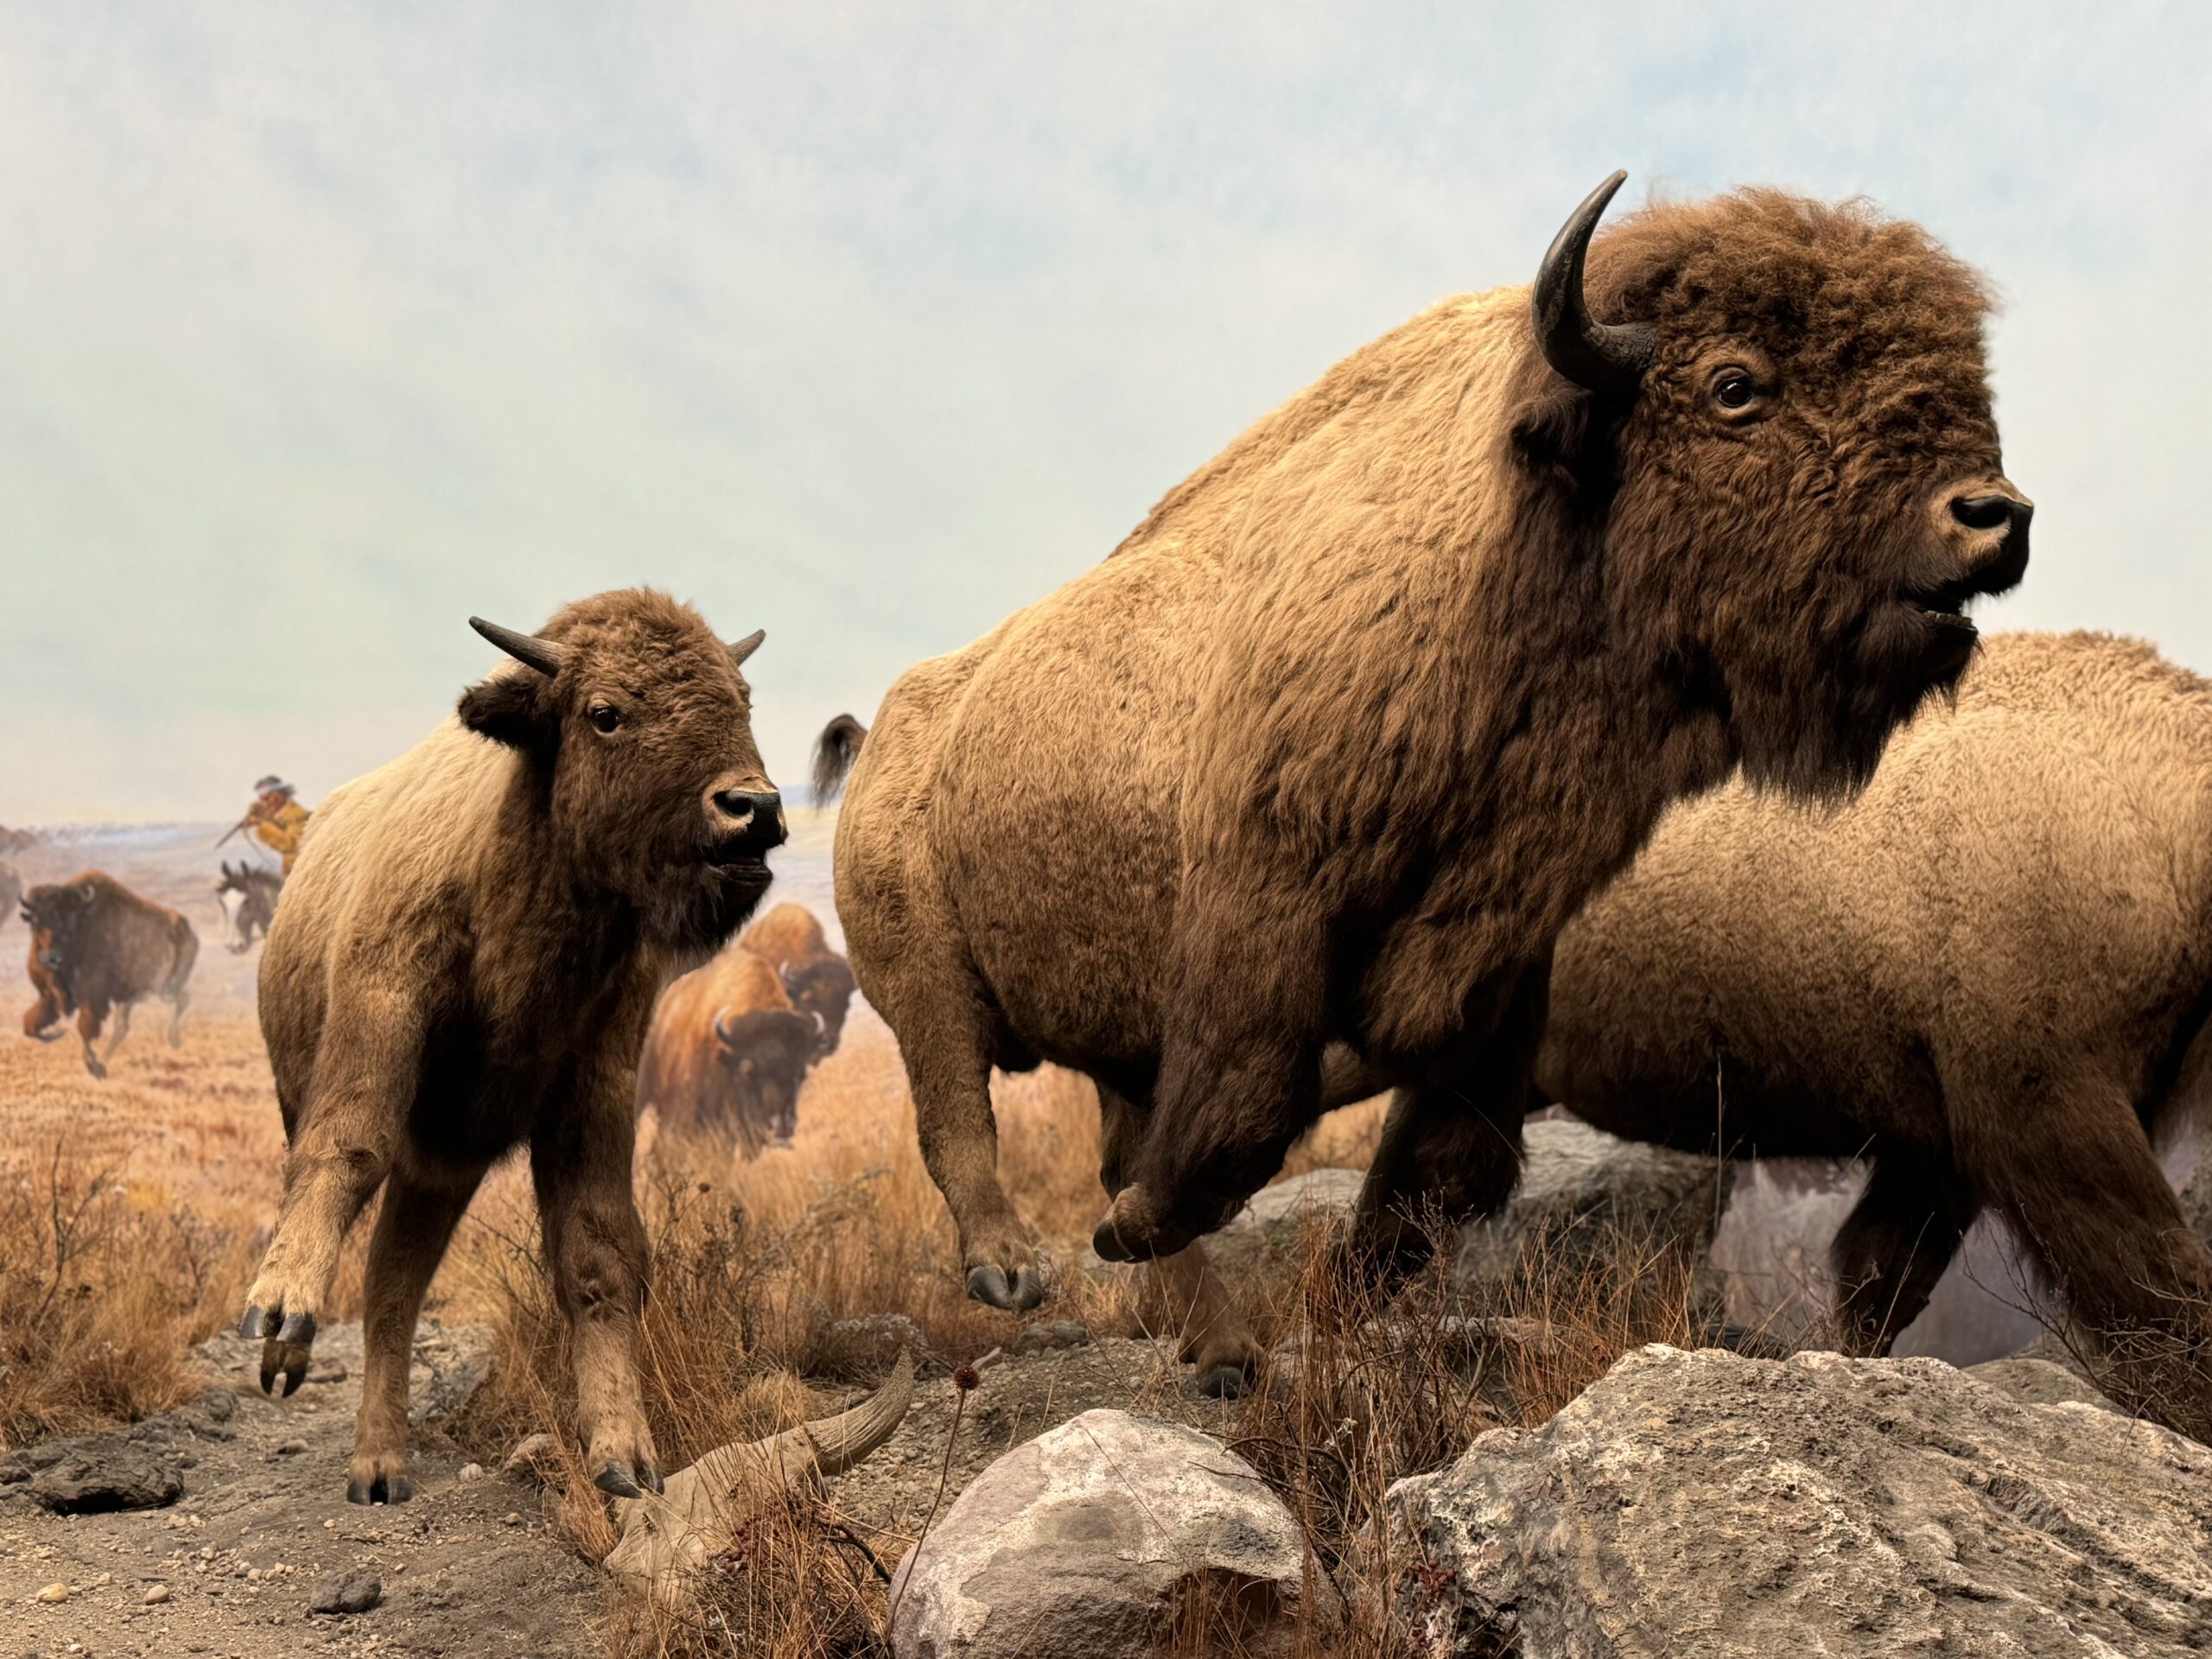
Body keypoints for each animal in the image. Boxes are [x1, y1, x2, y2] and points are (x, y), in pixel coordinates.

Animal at [20, 871, 199, 1079]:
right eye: (36, 921)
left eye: (69, 921)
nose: (51, 958)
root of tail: (189, 931)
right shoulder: (48, 996)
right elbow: (30, 1025)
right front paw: (57, 1033)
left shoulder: (93, 1001)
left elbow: (85, 1029)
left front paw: (93, 1066)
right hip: (130, 996)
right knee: (122, 1028)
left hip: (166, 989)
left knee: (183, 999)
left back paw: (174, 1039)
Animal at [239, 593, 779, 1503]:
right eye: (604, 712)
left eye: (743, 698)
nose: (755, 810)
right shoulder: (378, 1014)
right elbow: (343, 1149)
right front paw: (279, 1312)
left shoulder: (595, 1082)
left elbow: (597, 1257)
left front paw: (626, 1458)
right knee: (382, 1263)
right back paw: (351, 1435)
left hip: (443, 1166)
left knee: (394, 1280)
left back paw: (380, 1464)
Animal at [809, 172, 2025, 1389]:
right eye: (1735, 386)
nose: (1992, 517)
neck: (1510, 550)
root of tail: (894, 728)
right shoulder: (1264, 916)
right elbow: (1245, 1118)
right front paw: (1129, 1238)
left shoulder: (1495, 967)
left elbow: (1432, 1177)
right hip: (925, 979)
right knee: (956, 1109)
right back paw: (1012, 1271)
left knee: (1101, 1141)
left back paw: (1223, 1349)